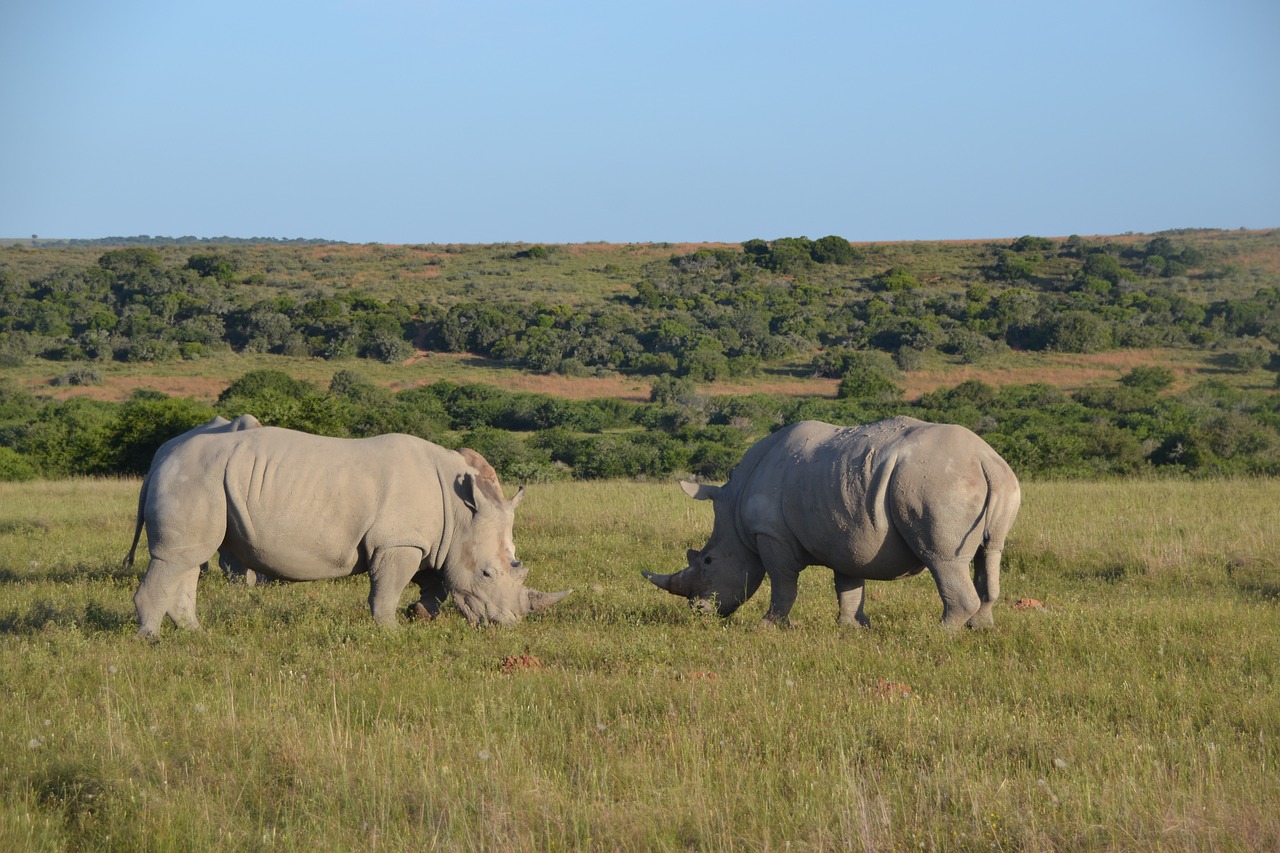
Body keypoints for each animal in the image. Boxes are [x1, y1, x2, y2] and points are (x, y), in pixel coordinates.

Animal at [132, 422, 568, 635]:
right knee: (175, 559)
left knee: (188, 559)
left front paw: (421, 616)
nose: (507, 625)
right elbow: (387, 590)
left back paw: (195, 635)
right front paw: (392, 632)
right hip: (194, 477)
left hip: (204, 480)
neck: (462, 512)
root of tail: (160, 458)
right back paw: (151, 640)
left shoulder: (430, 542)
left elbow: (436, 583)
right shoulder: (398, 542)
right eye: (487, 573)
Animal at [645, 414, 1024, 627]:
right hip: (999, 481)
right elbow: (848, 584)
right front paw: (853, 627)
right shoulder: (848, 532)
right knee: (990, 552)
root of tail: (984, 459)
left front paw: (768, 626)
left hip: (939, 485)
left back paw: (939, 633)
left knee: (943, 560)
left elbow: (783, 583)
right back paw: (981, 628)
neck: (734, 510)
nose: (698, 612)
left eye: (708, 561)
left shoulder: (771, 535)